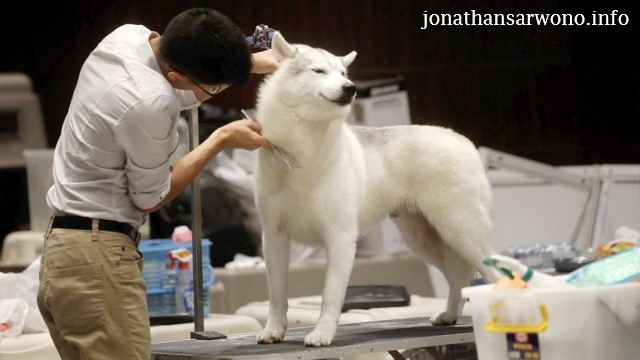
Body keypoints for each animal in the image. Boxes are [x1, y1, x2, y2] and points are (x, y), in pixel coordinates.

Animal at [252, 33, 498, 346]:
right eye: (319, 71)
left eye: (343, 74)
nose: (351, 88)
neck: (301, 153)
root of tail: (465, 142)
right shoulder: (273, 237)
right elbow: (276, 296)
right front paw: (273, 331)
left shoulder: (341, 238)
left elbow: (330, 296)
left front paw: (321, 334)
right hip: (427, 242)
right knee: (458, 279)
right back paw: (449, 315)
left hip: (462, 233)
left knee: (498, 273)